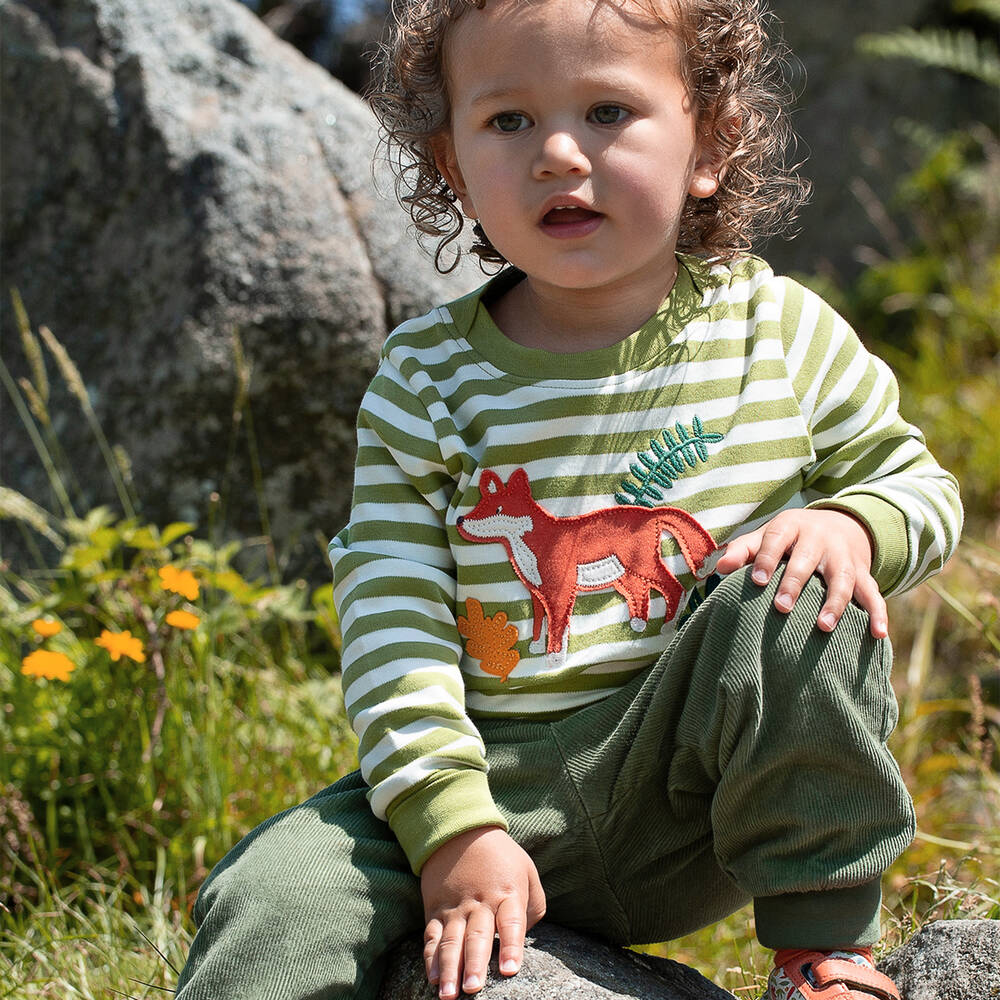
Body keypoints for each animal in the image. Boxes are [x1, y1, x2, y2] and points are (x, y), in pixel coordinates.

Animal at [456, 468, 724, 659]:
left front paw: (554, 657)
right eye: (479, 505)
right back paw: (638, 624)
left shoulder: (559, 593)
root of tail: (651, 513)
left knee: (673, 587)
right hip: (624, 576)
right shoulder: (537, 594)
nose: (459, 520)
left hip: (642, 566)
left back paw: (667, 625)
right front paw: (537, 648)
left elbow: (556, 628)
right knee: (640, 593)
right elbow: (540, 625)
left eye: (498, 509)